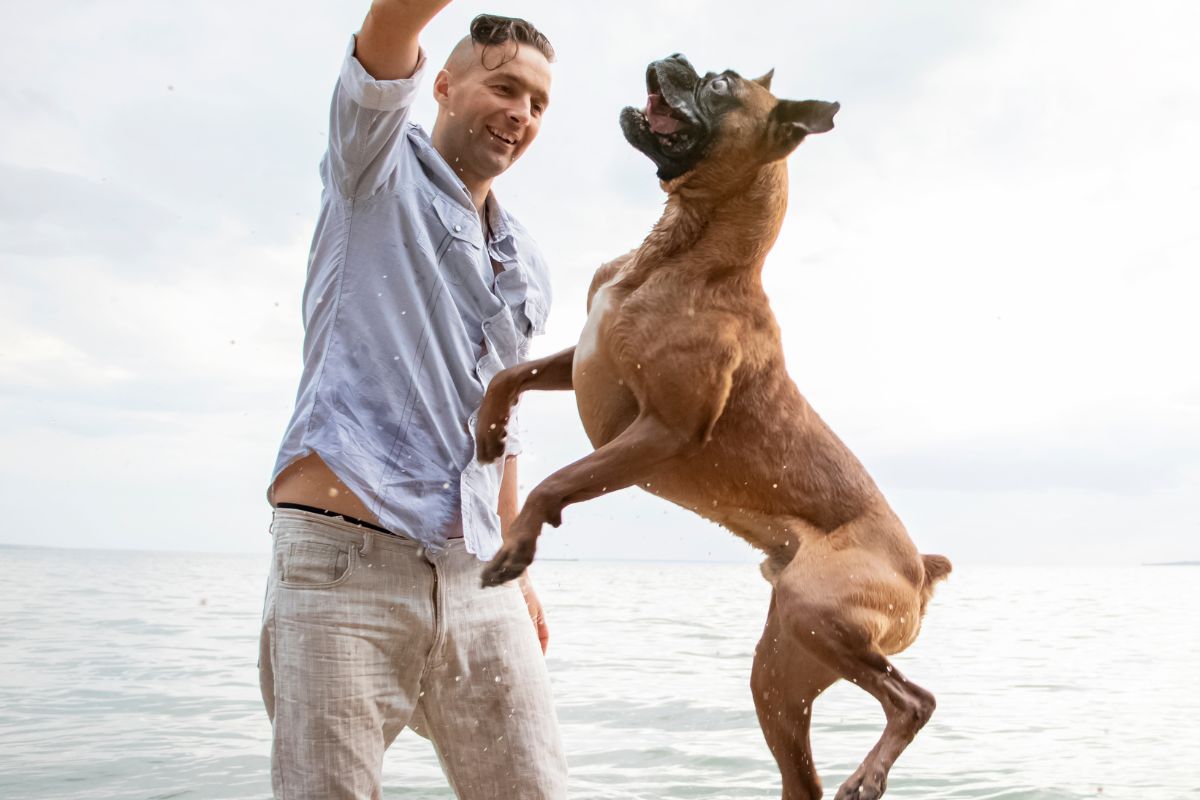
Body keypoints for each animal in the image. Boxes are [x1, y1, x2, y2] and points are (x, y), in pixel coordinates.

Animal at [472, 53, 950, 796]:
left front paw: (518, 543)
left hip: (815, 609)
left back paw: (869, 775)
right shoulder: (582, 362)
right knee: (807, 773)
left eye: (720, 84)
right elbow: (510, 375)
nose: (674, 59)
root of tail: (921, 570)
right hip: (781, 673)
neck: (684, 250)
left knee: (913, 700)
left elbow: (557, 480)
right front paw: (490, 432)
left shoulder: (660, 432)